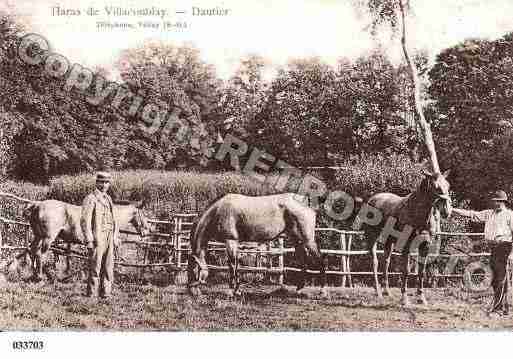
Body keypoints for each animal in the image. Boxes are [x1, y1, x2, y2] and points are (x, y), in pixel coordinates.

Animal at [186, 194, 326, 298]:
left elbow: (231, 265)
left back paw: (322, 291)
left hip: (308, 240)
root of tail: (305, 200)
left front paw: (232, 291)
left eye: (192, 269)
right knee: (303, 260)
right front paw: (237, 290)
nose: (191, 291)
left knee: (320, 259)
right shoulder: (235, 243)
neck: (218, 211)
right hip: (297, 239)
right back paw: (299, 289)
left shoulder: (230, 241)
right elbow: (236, 265)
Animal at [362, 170, 450, 306]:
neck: (417, 213)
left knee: (386, 262)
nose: (447, 211)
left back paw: (387, 291)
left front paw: (421, 298)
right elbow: (406, 270)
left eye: (448, 185)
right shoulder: (406, 245)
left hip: (389, 241)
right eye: (436, 187)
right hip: (372, 237)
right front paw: (404, 299)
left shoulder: (425, 246)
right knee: (375, 261)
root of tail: (372, 199)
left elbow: (421, 271)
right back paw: (378, 292)